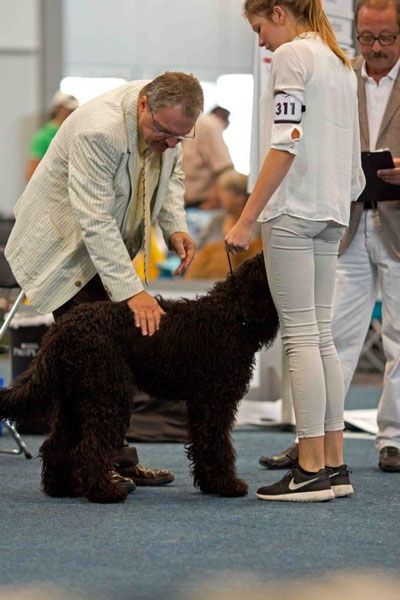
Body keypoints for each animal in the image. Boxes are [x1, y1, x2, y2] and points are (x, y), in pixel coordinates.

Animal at [0, 253, 278, 502]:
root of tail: (62, 329)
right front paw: (227, 485)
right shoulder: (215, 401)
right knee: (90, 447)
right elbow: (217, 444)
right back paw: (105, 492)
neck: (232, 314)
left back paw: (62, 488)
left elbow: (203, 443)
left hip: (73, 400)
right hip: (108, 397)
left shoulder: (202, 404)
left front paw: (211, 483)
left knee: (55, 445)